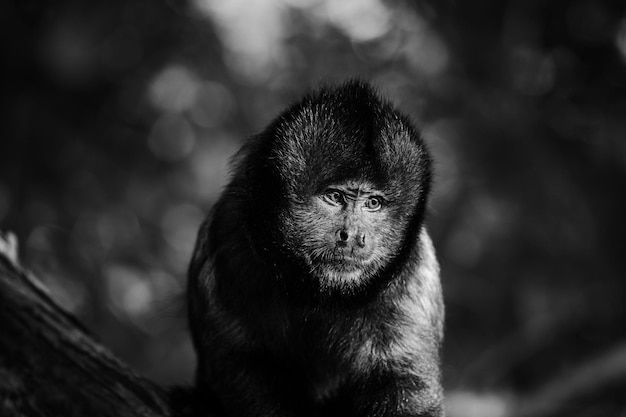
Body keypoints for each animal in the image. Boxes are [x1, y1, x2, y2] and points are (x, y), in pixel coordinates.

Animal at [186, 79, 444, 414]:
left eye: (373, 203)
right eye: (334, 197)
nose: (354, 236)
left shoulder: (412, 272)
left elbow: (406, 381)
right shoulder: (227, 240)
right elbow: (240, 362)